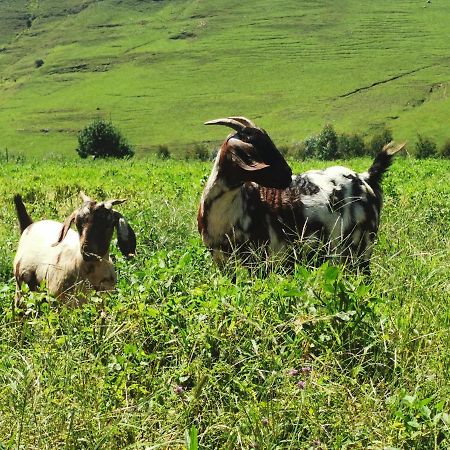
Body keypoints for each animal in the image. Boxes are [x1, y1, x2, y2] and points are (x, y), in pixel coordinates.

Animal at [197, 116, 404, 272]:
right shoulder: (221, 260)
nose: (287, 173)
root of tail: (366, 177)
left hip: (361, 245)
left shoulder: (258, 258)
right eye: (254, 149)